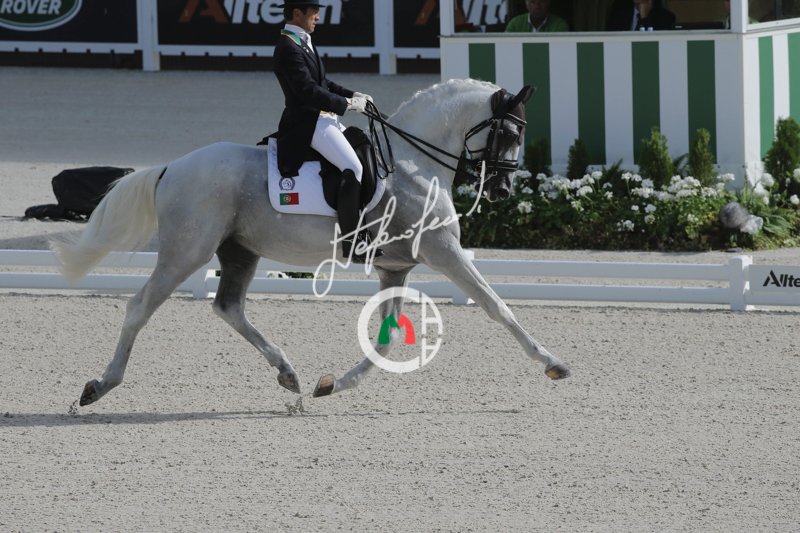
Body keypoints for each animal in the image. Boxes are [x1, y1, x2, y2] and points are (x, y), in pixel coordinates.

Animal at [52, 78, 571, 407]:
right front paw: (553, 364)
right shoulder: (443, 251)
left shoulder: (395, 266)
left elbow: (385, 338)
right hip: (187, 251)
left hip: (239, 251)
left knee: (228, 307)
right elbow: (496, 306)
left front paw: (331, 385)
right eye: (510, 131)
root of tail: (170, 167)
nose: (503, 190)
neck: (413, 164)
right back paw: (101, 385)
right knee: (140, 306)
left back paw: (288, 373)